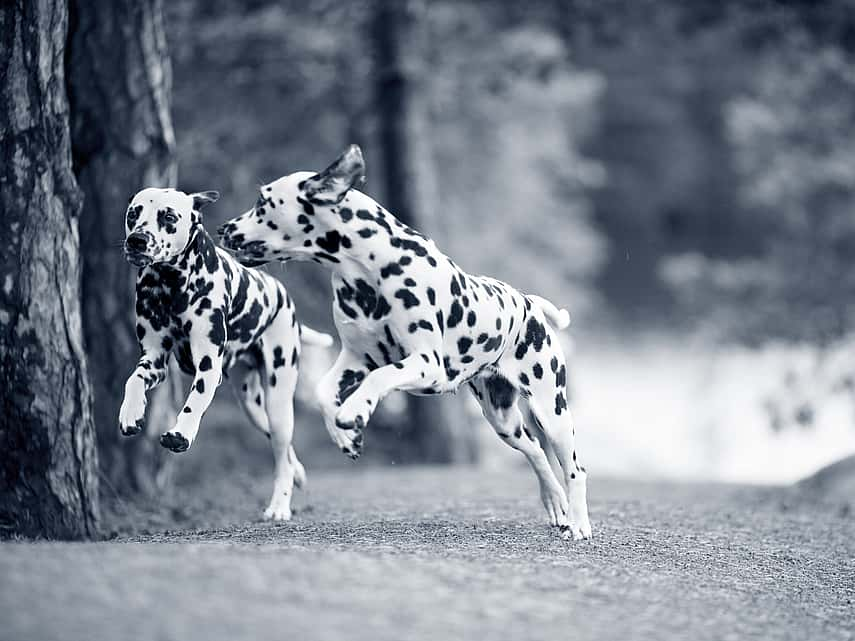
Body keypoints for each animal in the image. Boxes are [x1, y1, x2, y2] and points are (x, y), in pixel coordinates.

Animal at [118, 186, 332, 520]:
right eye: (133, 214)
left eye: (168, 216)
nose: (137, 240)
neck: (170, 284)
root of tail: (282, 296)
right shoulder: (153, 360)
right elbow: (134, 380)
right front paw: (131, 413)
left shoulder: (207, 367)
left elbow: (193, 404)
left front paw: (181, 434)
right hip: (254, 408)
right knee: (284, 451)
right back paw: (297, 473)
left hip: (279, 403)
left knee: (281, 457)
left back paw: (279, 506)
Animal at [221, 148, 592, 536]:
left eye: (263, 201)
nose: (223, 229)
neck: (368, 268)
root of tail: (528, 303)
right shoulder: (354, 358)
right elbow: (324, 393)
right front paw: (346, 436)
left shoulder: (425, 364)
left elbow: (379, 378)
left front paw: (354, 412)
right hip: (502, 419)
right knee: (536, 451)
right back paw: (556, 503)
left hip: (552, 411)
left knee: (575, 469)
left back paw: (579, 524)